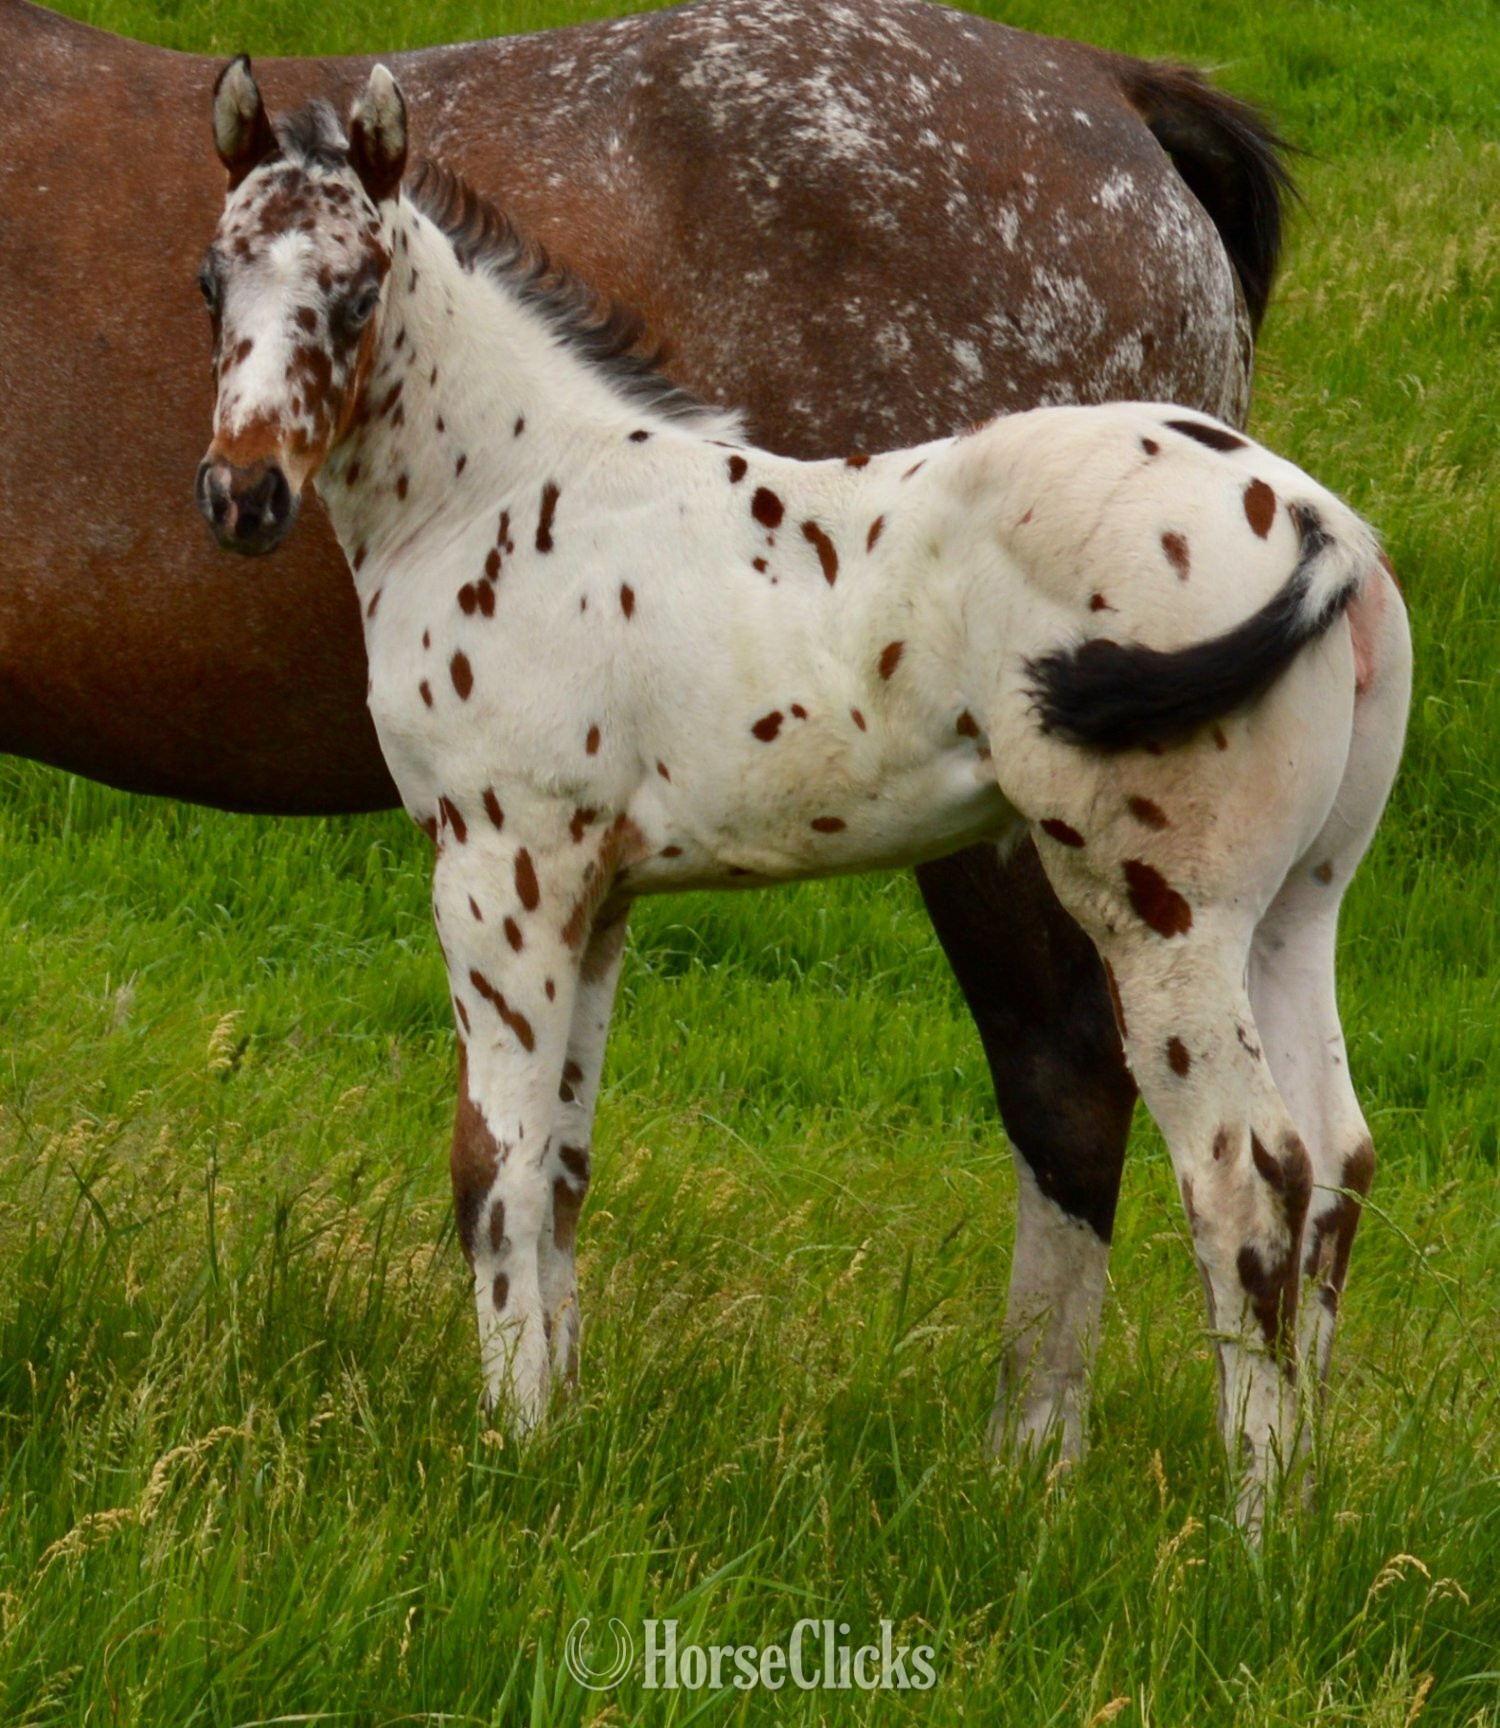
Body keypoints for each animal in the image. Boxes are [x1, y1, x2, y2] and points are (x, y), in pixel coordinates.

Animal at [3, 0, 1297, 1466]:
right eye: (207, 285)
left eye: (356, 294)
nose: (240, 496)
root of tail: (1119, 91)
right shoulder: (581, 874)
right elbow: (554, 1164)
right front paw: (554, 1417)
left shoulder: (501, 862)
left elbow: (494, 1165)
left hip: (1067, 853)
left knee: (1101, 1091)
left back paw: (1039, 1459)